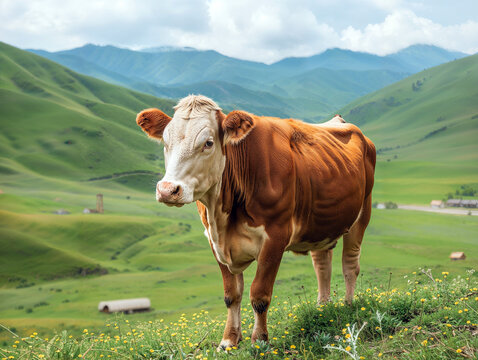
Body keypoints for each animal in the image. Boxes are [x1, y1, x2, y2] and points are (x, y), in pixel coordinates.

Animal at [136, 94, 376, 350]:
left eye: (208, 143)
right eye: (165, 142)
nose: (167, 190)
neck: (222, 218)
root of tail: (340, 122)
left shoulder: (275, 237)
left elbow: (259, 295)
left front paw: (259, 340)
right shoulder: (214, 241)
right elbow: (231, 295)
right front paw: (229, 340)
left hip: (362, 214)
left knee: (350, 265)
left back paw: (348, 306)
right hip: (321, 224)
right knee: (322, 265)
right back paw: (322, 308)